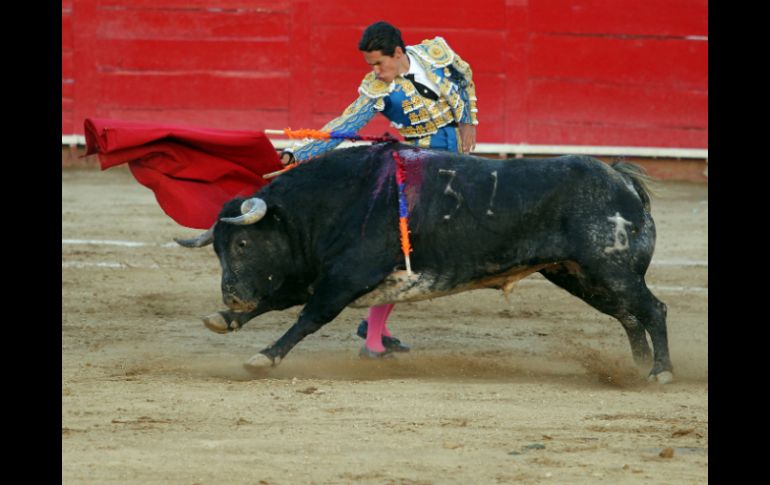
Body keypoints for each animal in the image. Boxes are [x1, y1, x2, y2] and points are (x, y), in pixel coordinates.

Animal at [177, 143, 668, 382]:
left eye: (243, 244)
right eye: (217, 249)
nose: (232, 297)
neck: (330, 203)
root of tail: (620, 178)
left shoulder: (346, 277)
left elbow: (308, 316)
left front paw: (263, 357)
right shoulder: (317, 273)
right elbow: (278, 300)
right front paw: (224, 319)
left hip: (610, 269)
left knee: (652, 309)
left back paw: (660, 372)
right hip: (579, 275)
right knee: (629, 315)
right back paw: (636, 368)